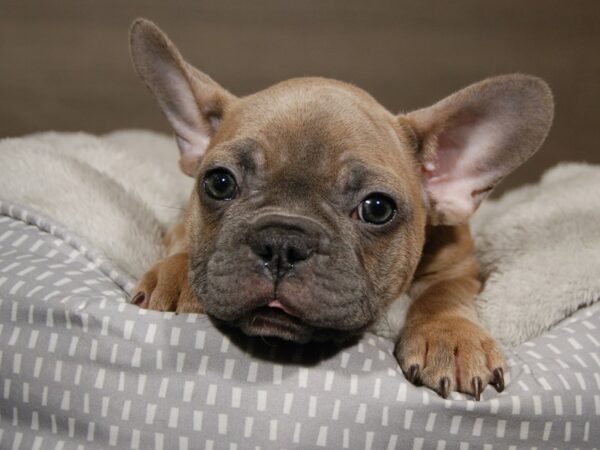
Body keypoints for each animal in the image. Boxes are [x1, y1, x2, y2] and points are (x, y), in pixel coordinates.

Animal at [129, 19, 556, 400]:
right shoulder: (180, 225)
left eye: (377, 209)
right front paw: (177, 277)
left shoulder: (462, 264)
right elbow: (185, 246)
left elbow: (444, 293)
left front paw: (451, 338)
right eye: (219, 183)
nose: (282, 243)